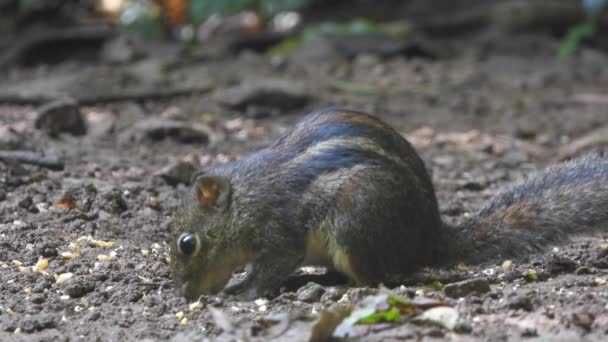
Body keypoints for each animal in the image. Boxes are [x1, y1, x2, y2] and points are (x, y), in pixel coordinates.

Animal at [169, 108, 608, 300]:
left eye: (187, 244)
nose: (184, 294)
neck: (246, 199)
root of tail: (429, 240)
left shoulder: (279, 234)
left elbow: (269, 268)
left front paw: (241, 292)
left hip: (355, 223)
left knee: (381, 277)